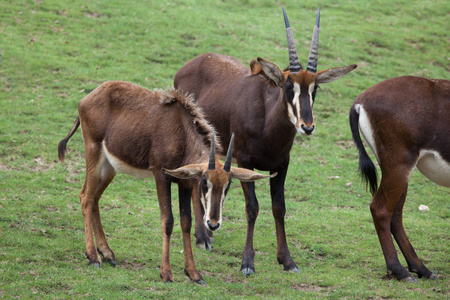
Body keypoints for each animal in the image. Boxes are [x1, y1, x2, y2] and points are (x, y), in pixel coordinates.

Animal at [57, 81, 274, 284]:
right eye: (205, 181)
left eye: (228, 185)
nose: (213, 224)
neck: (181, 132)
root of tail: (88, 98)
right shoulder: (161, 176)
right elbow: (167, 221)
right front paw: (166, 273)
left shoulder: (184, 183)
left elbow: (186, 223)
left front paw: (194, 274)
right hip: (94, 153)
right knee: (86, 197)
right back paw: (93, 257)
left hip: (109, 167)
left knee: (93, 198)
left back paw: (107, 253)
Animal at [174, 7, 356, 276]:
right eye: (288, 86)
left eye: (315, 89)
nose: (307, 126)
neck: (267, 123)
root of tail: (189, 65)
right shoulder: (244, 162)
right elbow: (252, 207)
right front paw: (247, 262)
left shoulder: (281, 165)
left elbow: (279, 207)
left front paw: (287, 260)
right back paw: (202, 237)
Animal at [350, 75, 448, 282]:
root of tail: (359, 103)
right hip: (399, 167)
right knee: (381, 210)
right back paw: (400, 271)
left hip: (398, 171)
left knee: (395, 215)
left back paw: (422, 269)